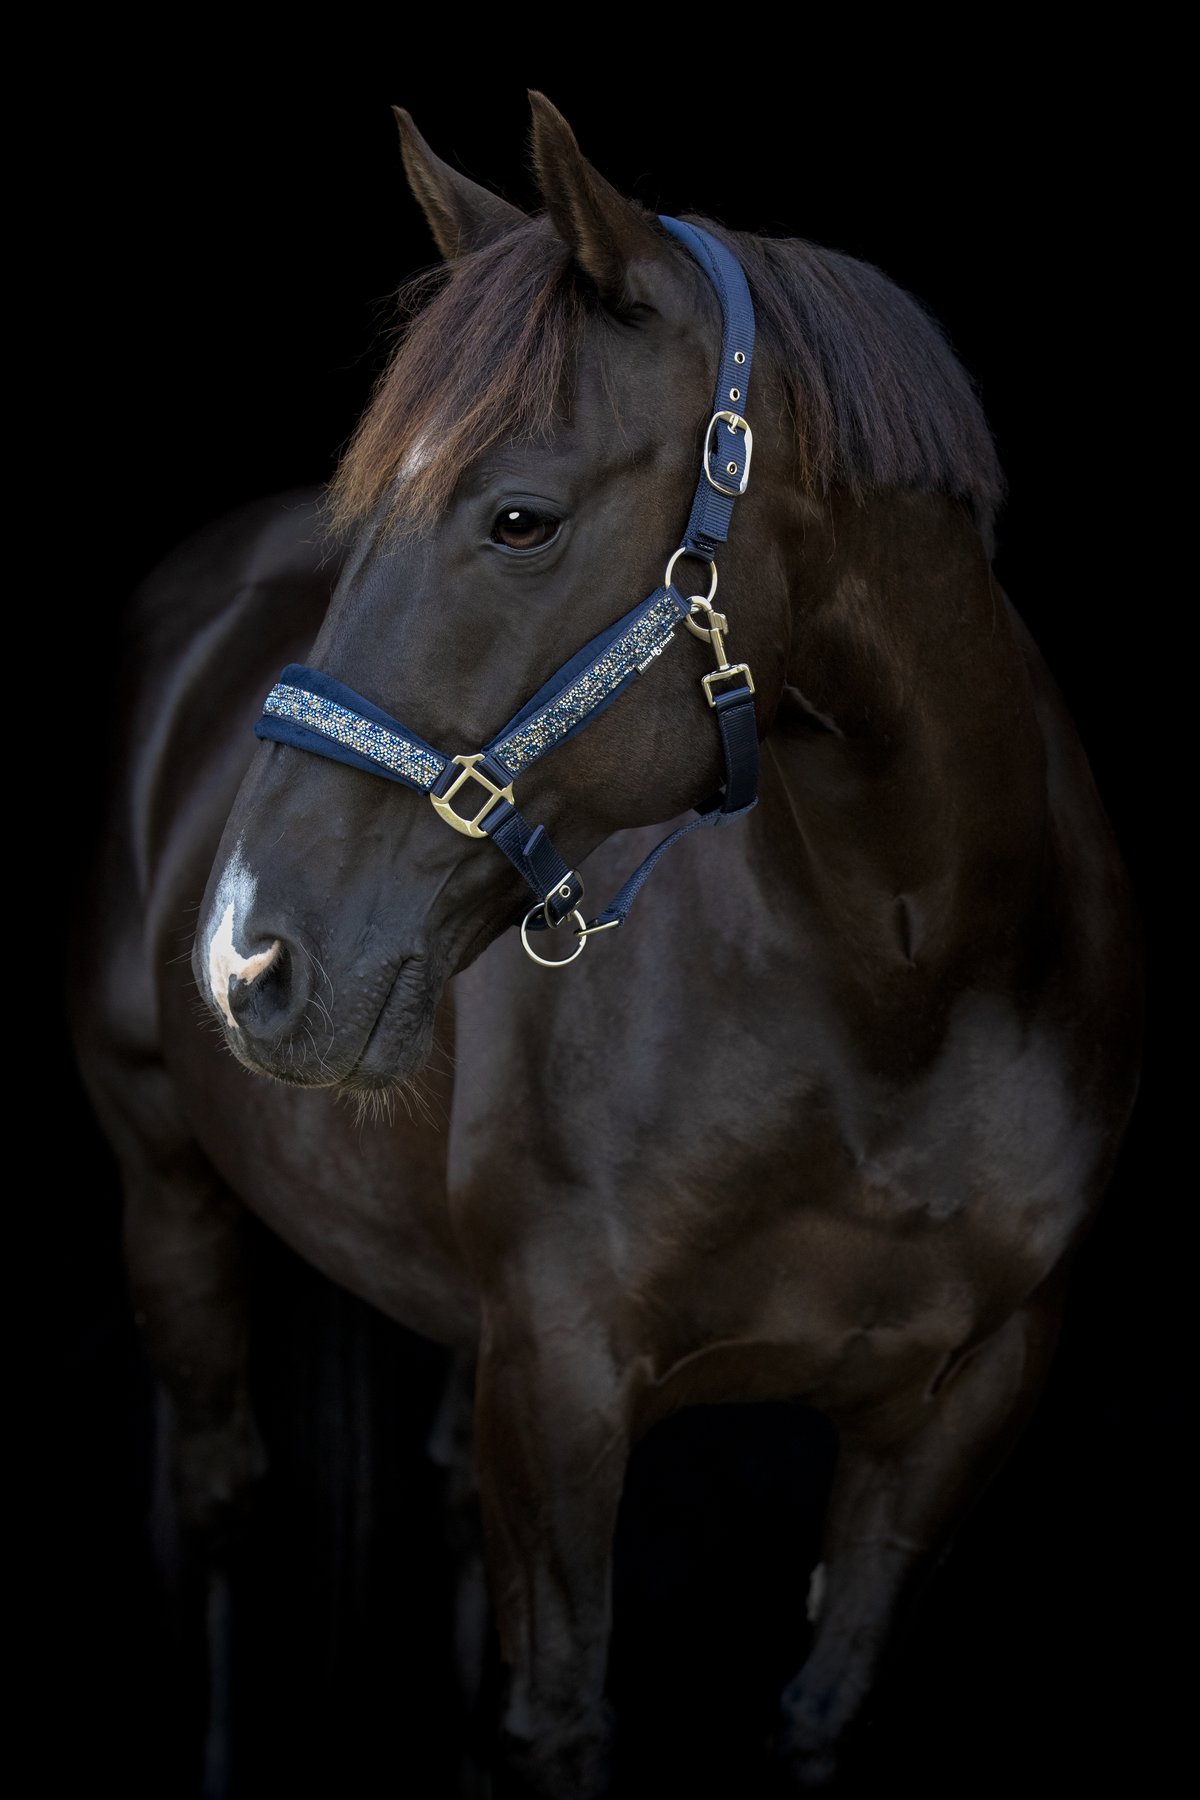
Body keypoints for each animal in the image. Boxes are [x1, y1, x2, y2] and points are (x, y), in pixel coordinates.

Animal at [71, 91, 1142, 1796]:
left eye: (520, 518)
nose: (248, 959)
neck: (900, 991)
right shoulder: (562, 1385)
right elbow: (561, 1712)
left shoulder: (959, 1411)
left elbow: (816, 1705)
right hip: (169, 1188)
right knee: (222, 1498)